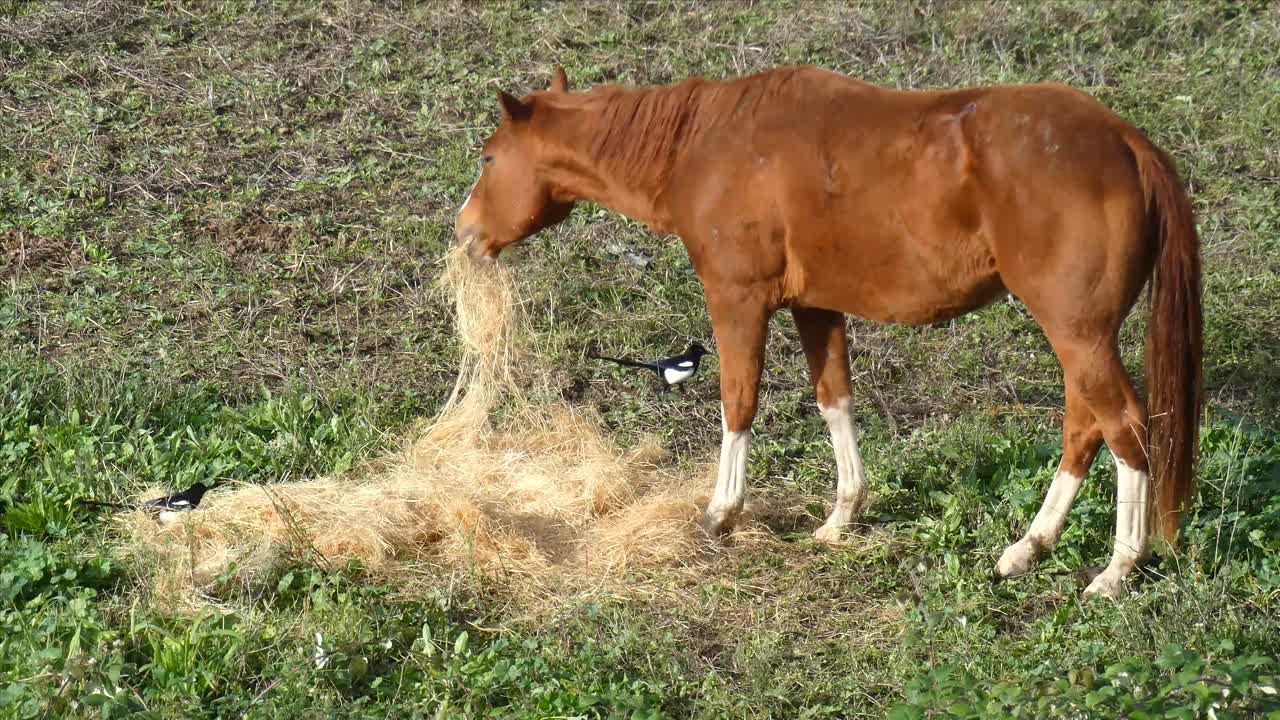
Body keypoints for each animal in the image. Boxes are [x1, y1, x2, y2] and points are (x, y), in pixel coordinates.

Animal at [453, 65, 1198, 594]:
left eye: (487, 158)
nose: (463, 230)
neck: (703, 143)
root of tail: (1124, 141)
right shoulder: (815, 308)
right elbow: (833, 400)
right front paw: (843, 515)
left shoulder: (738, 300)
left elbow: (738, 402)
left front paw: (721, 514)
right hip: (1080, 339)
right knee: (1085, 427)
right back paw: (1028, 548)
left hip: (1078, 335)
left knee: (1126, 427)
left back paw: (1118, 569)